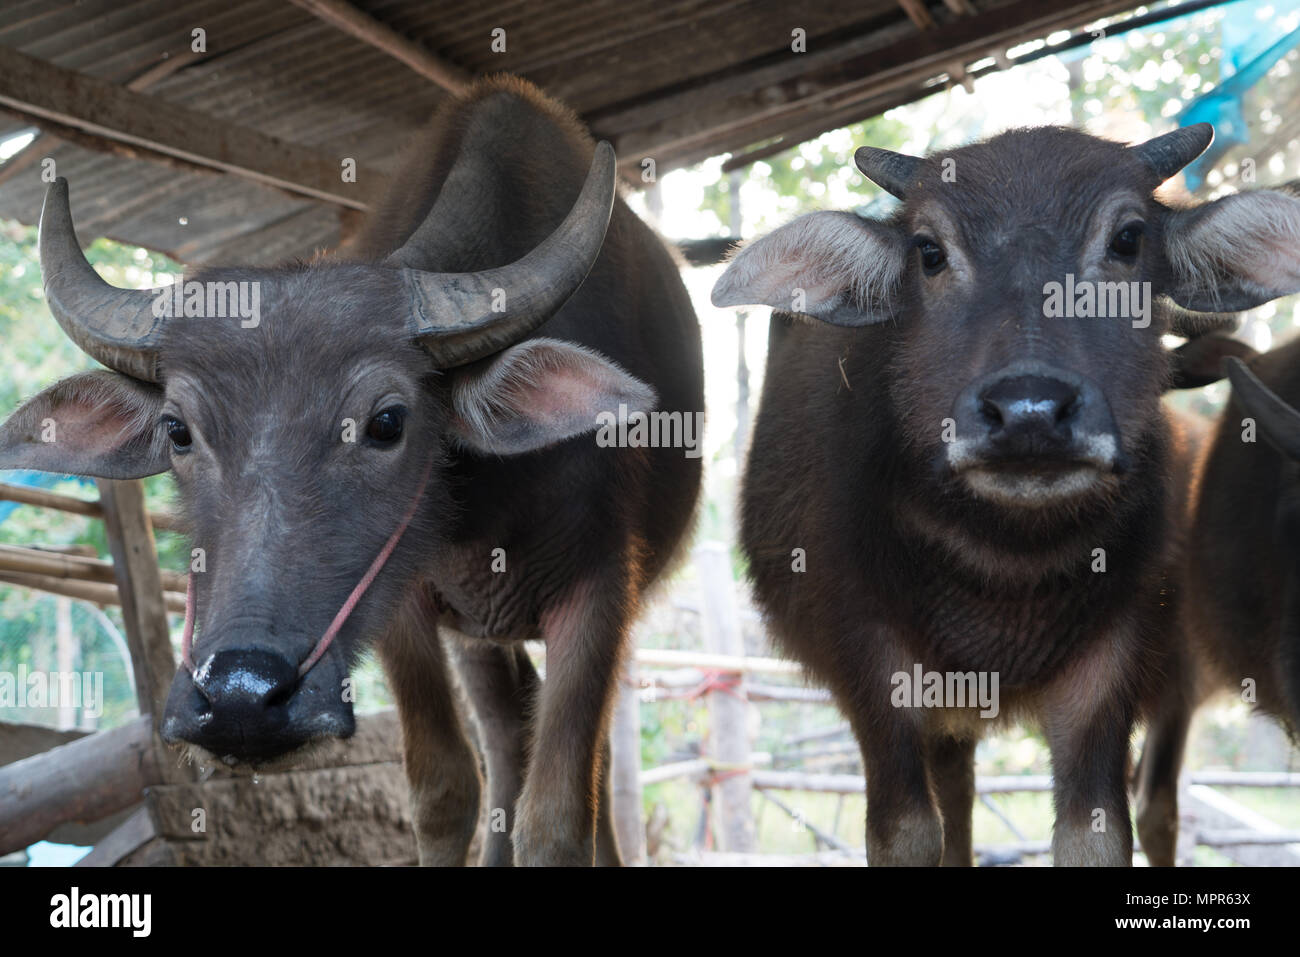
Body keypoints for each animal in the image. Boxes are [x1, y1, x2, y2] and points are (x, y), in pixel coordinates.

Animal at [0, 76, 704, 866]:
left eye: (388, 422)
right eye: (178, 431)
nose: (241, 697)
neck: (483, 514)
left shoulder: (601, 593)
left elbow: (557, 817)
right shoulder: (406, 606)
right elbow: (443, 788)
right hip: (478, 637)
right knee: (505, 738)